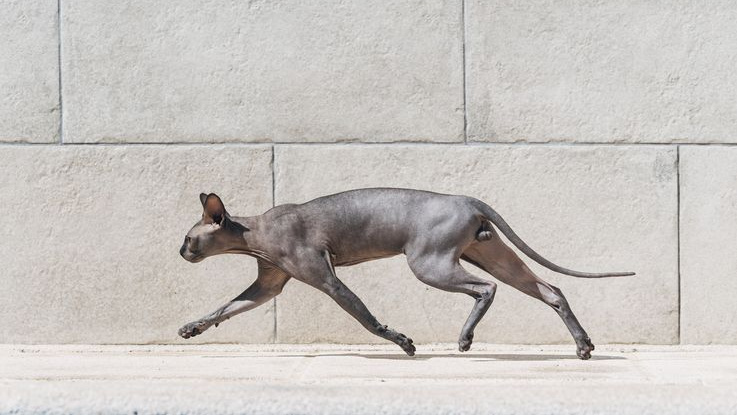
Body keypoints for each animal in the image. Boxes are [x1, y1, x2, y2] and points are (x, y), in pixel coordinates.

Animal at [178, 188, 632, 360]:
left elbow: (367, 318)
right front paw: (190, 329)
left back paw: (465, 339)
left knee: (486, 288)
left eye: (188, 237)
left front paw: (404, 343)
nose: (180, 252)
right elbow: (224, 308)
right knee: (551, 289)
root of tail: (467, 198)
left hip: (428, 264)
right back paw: (583, 346)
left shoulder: (327, 280)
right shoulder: (267, 285)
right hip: (490, 255)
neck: (255, 232)